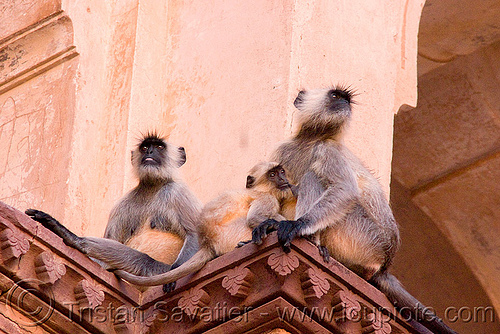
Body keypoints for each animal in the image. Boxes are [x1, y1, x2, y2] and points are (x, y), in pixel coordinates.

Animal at [25, 133, 201, 276]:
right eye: (145, 147)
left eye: (159, 147)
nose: (150, 153)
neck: (152, 187)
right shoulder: (121, 205)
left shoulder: (177, 192)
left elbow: (195, 235)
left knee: (144, 260)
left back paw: (75, 239)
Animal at [113, 160, 296, 290]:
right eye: (272, 174)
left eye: (281, 172)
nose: (282, 178)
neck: (261, 189)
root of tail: (207, 242)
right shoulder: (267, 198)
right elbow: (255, 218)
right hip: (229, 234)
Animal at [252, 88, 458, 334]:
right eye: (335, 96)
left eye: (344, 98)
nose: (344, 103)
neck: (311, 138)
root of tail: (384, 264)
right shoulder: (282, 153)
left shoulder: (329, 150)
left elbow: (345, 190)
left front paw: (295, 225)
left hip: (362, 238)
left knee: (314, 177)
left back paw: (310, 239)